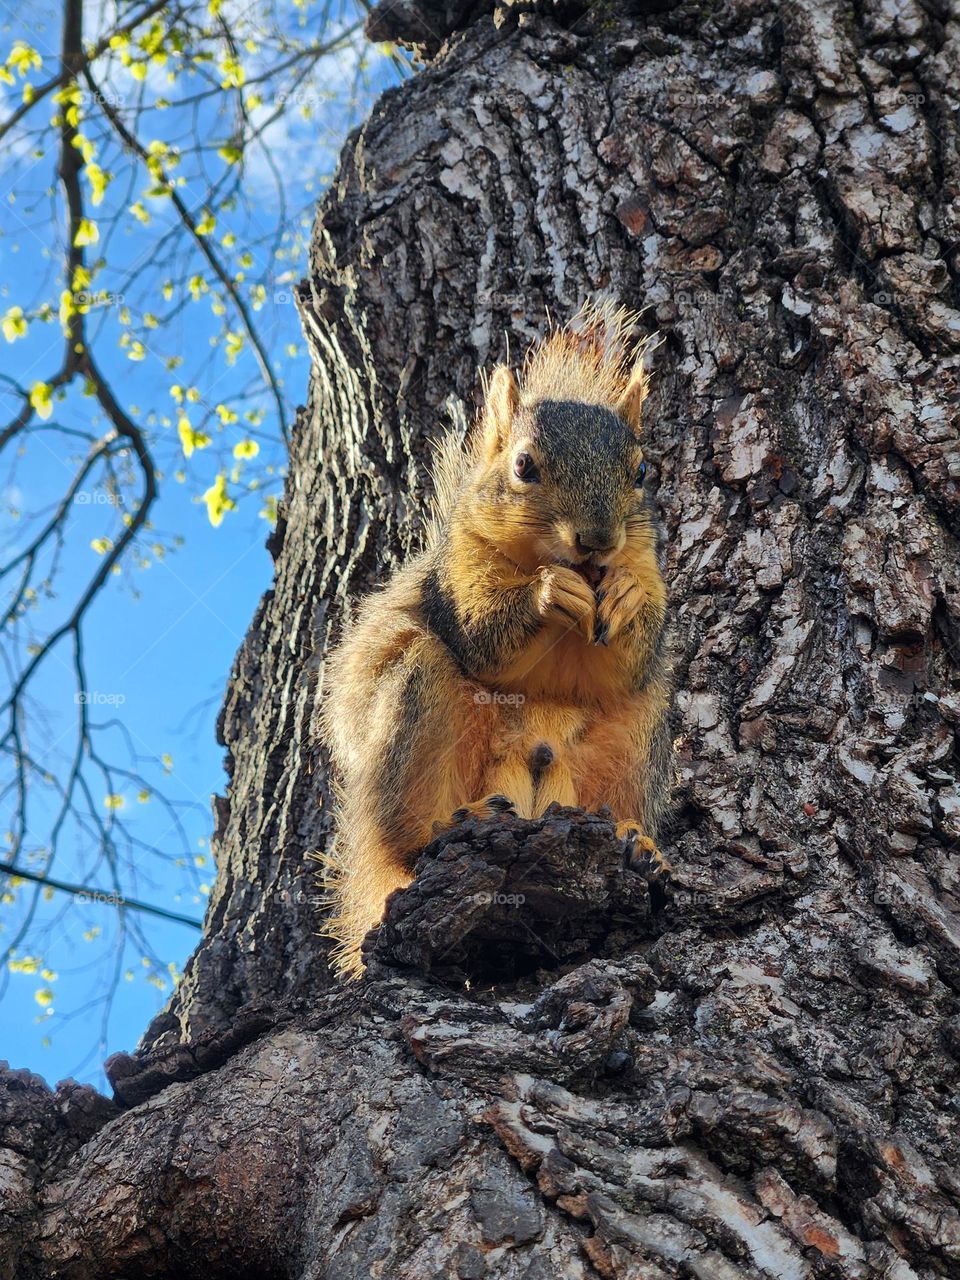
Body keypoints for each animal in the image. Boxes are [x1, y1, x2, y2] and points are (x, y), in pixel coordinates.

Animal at [320, 304, 673, 978]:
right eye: (524, 467)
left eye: (642, 471)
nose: (597, 540)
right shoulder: (458, 574)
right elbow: (485, 634)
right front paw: (546, 594)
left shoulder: (644, 569)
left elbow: (630, 658)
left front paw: (626, 598)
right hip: (421, 707)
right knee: (402, 839)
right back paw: (444, 826)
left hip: (636, 735)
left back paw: (633, 838)